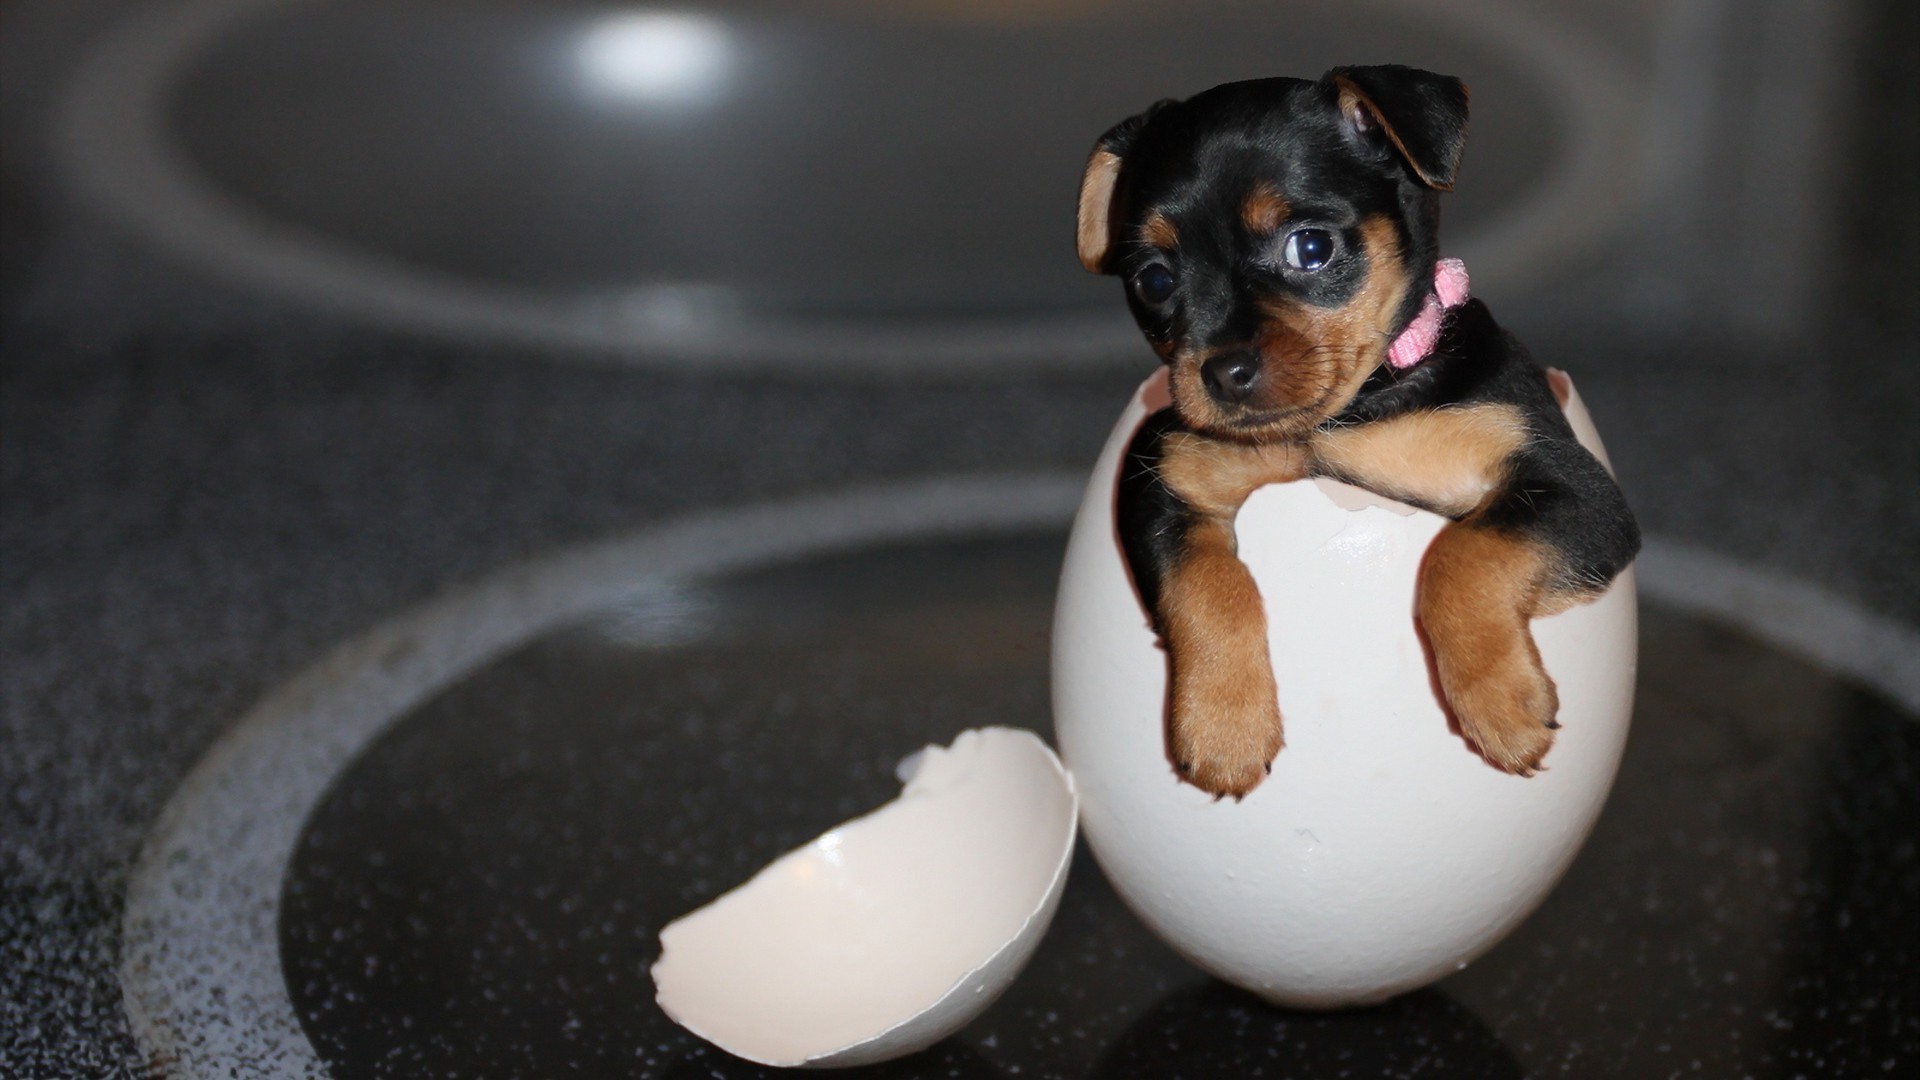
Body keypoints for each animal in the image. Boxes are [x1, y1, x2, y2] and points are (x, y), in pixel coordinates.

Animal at [1075, 65, 1643, 791]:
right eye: (1153, 280)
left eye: (1310, 248)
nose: (1223, 373)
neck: (1343, 417)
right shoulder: (1163, 475)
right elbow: (1206, 583)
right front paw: (1225, 723)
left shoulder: (1576, 490)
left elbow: (1461, 555)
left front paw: (1502, 704)